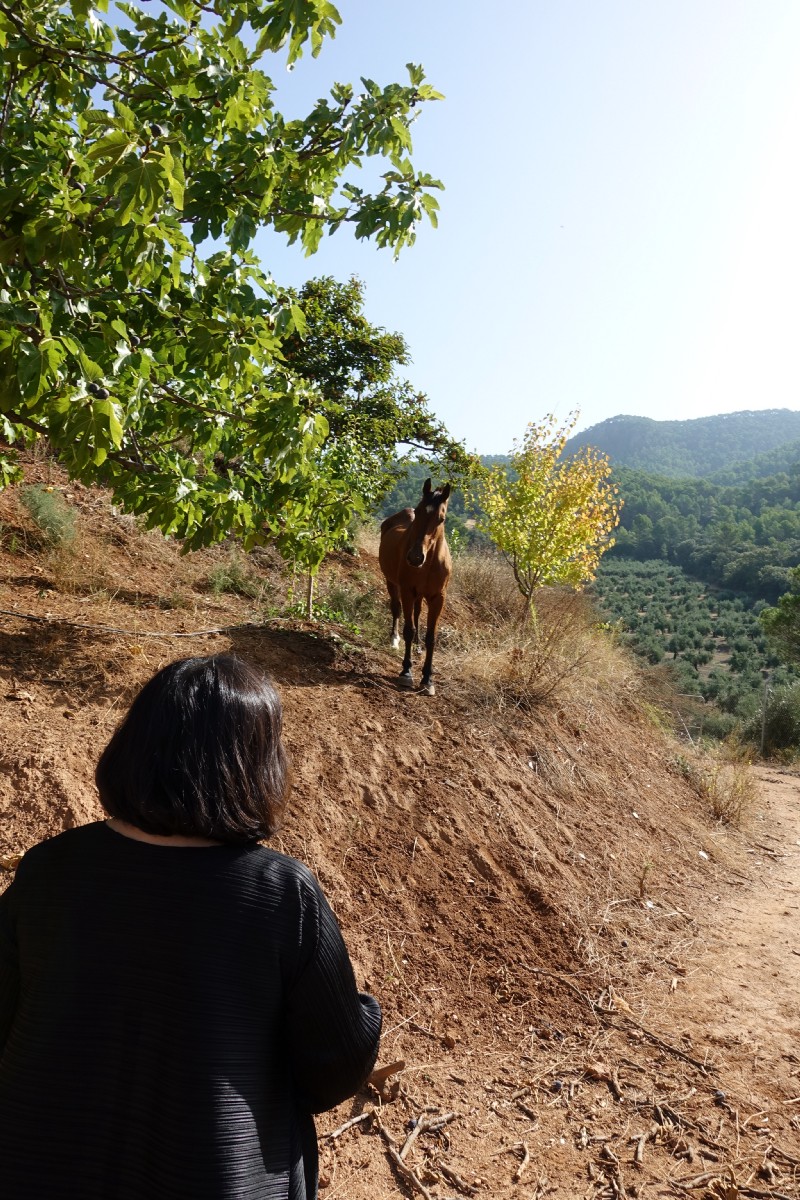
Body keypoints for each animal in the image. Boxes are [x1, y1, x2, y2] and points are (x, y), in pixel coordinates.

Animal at [378, 478, 452, 696]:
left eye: (441, 519)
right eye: (419, 512)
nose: (415, 557)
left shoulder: (437, 598)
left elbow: (431, 637)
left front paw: (427, 679)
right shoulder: (407, 591)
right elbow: (408, 629)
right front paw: (406, 672)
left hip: (420, 595)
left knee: (418, 613)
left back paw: (418, 645)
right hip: (392, 583)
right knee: (396, 609)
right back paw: (394, 639)